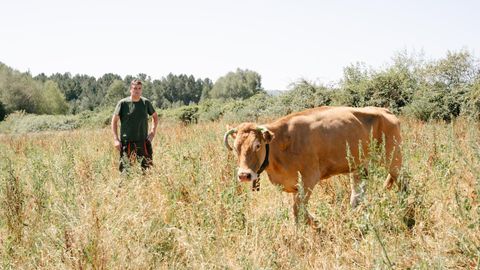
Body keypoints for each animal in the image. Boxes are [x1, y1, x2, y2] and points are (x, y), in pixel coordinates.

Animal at [224, 105, 402, 226]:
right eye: (236, 148)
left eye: (257, 145)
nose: (244, 175)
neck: (280, 143)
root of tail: (384, 111)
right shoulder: (295, 186)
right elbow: (296, 211)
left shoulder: (309, 179)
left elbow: (298, 210)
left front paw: (317, 224)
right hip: (359, 167)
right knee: (357, 194)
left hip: (394, 158)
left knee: (402, 181)